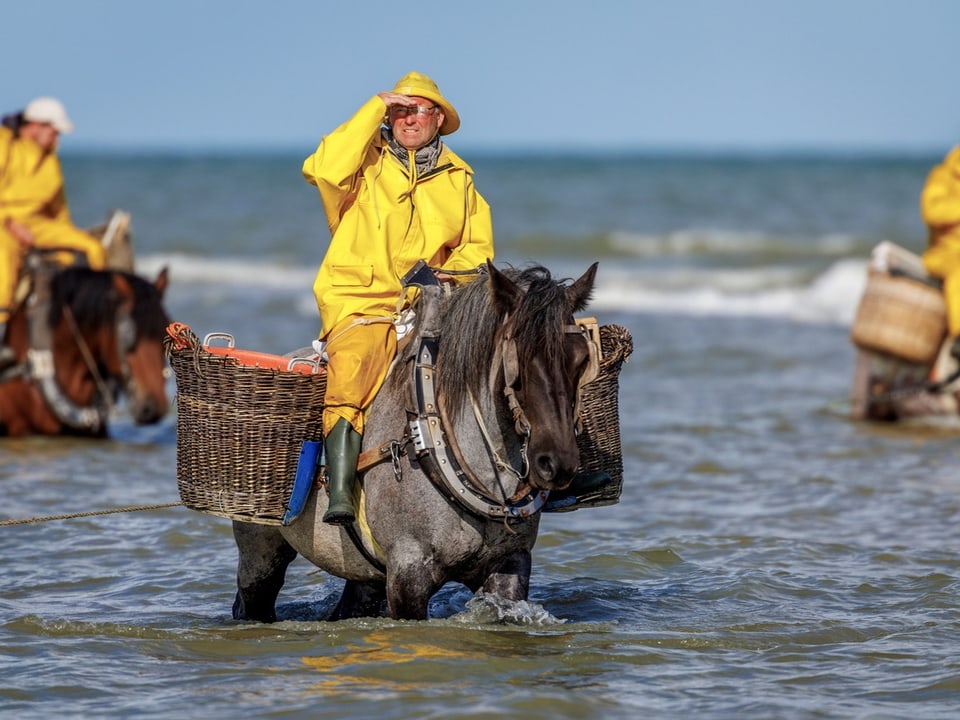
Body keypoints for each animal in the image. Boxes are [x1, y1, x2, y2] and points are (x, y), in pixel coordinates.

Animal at [232, 262, 596, 620]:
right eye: (518, 358)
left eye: (581, 358)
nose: (556, 462)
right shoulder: (408, 574)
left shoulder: (510, 564)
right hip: (260, 549)